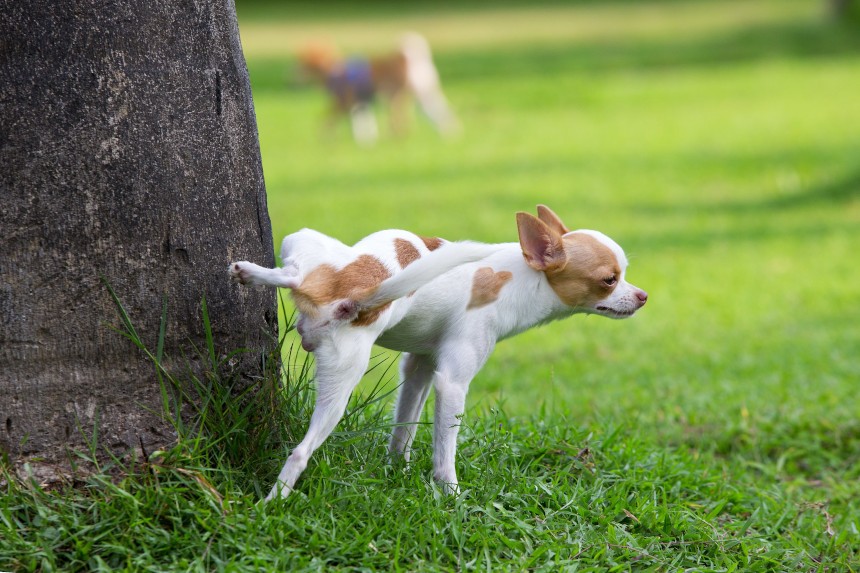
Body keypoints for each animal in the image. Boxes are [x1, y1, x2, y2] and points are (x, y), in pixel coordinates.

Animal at [228, 207, 644, 500]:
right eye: (610, 280)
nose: (642, 296)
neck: (521, 276)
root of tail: (355, 295)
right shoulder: (452, 384)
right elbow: (445, 450)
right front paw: (450, 496)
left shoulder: (420, 368)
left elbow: (404, 428)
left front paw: (396, 470)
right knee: (300, 452)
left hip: (315, 283)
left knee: (295, 275)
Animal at [298, 32, 456, 144]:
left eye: (301, 63)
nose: (294, 75)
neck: (333, 70)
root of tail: (411, 60)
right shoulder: (360, 104)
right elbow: (363, 124)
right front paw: (366, 141)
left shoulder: (343, 103)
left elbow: (327, 121)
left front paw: (325, 138)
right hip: (422, 95)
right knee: (439, 112)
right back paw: (449, 133)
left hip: (393, 97)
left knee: (403, 121)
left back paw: (397, 137)